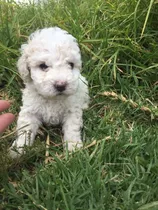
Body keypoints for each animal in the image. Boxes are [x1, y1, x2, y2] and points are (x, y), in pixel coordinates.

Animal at [10, 26, 89, 158]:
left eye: (71, 64)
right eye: (43, 66)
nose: (61, 85)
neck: (52, 99)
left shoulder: (72, 111)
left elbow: (72, 129)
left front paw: (73, 149)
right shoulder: (30, 111)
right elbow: (25, 130)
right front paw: (19, 149)